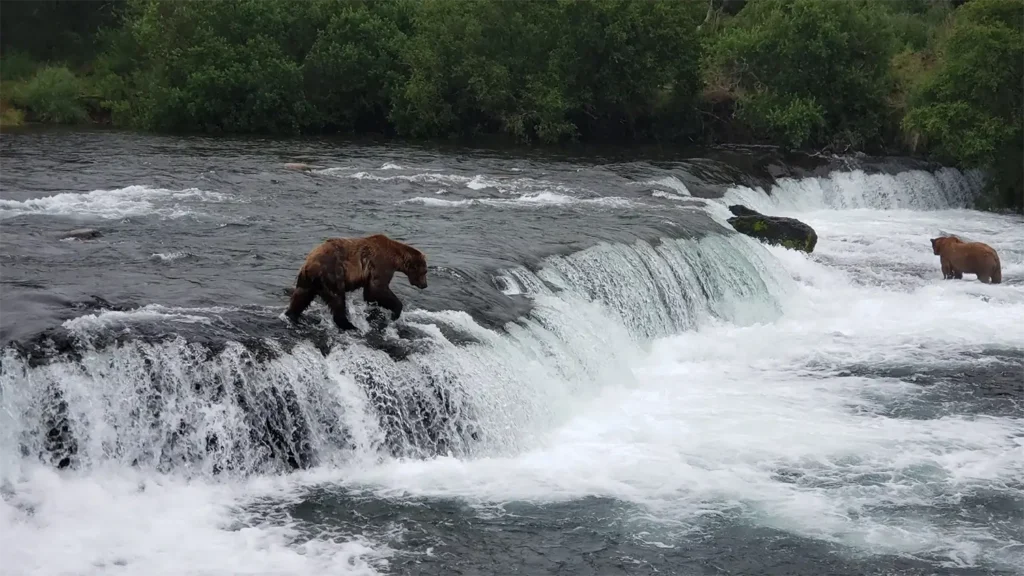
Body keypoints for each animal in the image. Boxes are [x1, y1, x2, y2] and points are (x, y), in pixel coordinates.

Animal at [285, 234, 428, 330]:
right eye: (425, 271)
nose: (425, 285)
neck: (396, 258)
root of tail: (309, 266)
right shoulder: (381, 264)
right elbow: (378, 288)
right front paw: (395, 313)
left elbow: (370, 294)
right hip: (332, 274)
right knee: (337, 299)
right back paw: (349, 325)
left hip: (307, 281)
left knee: (301, 297)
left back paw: (292, 315)